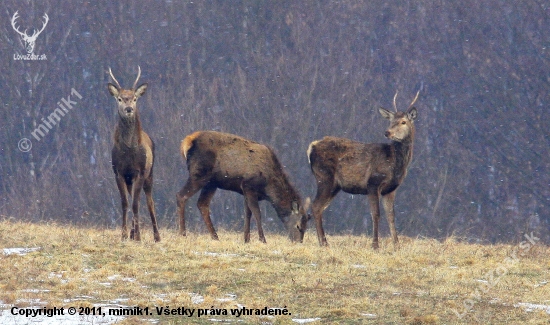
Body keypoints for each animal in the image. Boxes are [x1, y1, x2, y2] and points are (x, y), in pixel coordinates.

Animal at [107, 66, 160, 240]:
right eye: (120, 99)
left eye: (134, 98)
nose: (129, 109)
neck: (129, 150)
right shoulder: (119, 172)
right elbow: (125, 203)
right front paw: (124, 234)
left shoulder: (140, 172)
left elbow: (136, 204)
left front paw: (138, 236)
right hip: (130, 180)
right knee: (132, 199)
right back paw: (131, 233)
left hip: (150, 174)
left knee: (150, 202)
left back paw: (156, 236)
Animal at [177, 130, 310, 242]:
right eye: (298, 226)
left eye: (306, 227)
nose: (298, 241)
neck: (268, 188)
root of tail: (187, 141)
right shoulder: (249, 186)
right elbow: (257, 213)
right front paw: (262, 239)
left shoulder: (245, 192)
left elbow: (247, 214)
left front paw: (246, 239)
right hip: (199, 174)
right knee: (181, 196)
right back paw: (183, 234)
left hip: (211, 183)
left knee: (202, 204)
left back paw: (215, 237)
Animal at [308, 91, 420, 248]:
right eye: (390, 121)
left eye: (403, 122)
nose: (387, 132)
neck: (395, 163)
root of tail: (312, 146)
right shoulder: (373, 182)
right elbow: (376, 214)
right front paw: (375, 245)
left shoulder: (390, 189)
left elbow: (391, 216)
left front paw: (397, 245)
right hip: (324, 177)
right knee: (315, 205)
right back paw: (324, 243)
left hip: (334, 185)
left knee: (319, 207)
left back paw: (323, 242)